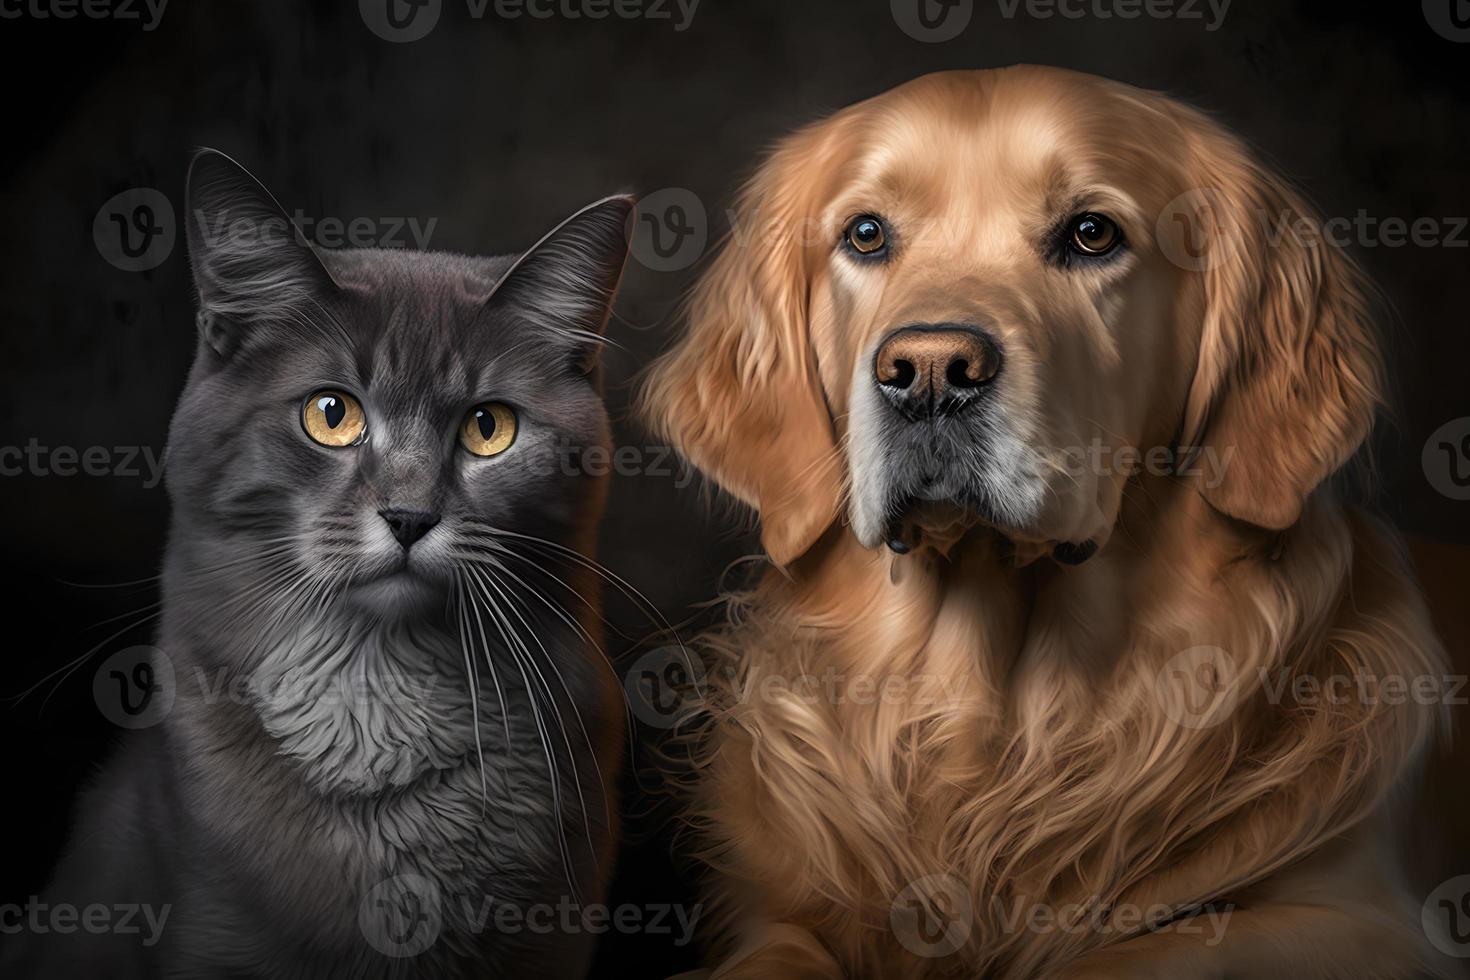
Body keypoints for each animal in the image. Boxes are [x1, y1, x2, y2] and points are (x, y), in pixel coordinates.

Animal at [637, 67, 1452, 980]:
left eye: (1092, 233)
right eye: (866, 234)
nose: (927, 373)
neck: (995, 715)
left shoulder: (1362, 921)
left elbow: (1119, 956)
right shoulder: (765, 917)